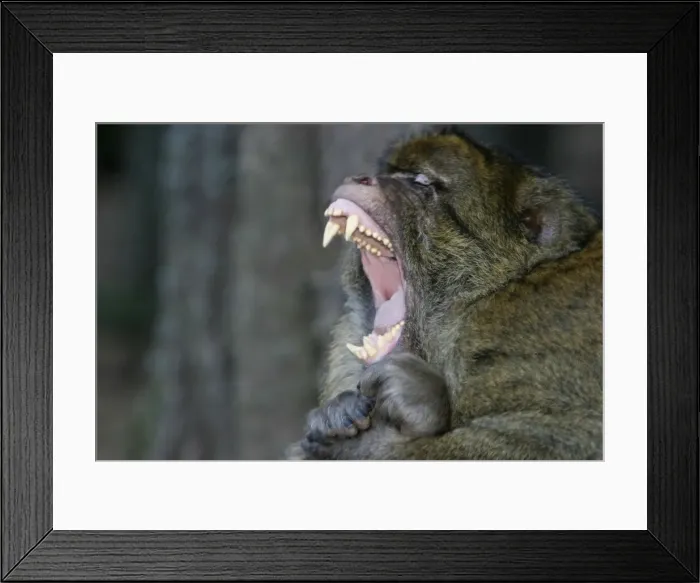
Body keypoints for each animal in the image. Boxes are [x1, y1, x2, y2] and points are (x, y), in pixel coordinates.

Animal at [285, 125, 603, 460]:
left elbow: (558, 438)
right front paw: (338, 412)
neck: (476, 301)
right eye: (392, 173)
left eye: (422, 181)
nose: (361, 178)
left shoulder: (528, 335)